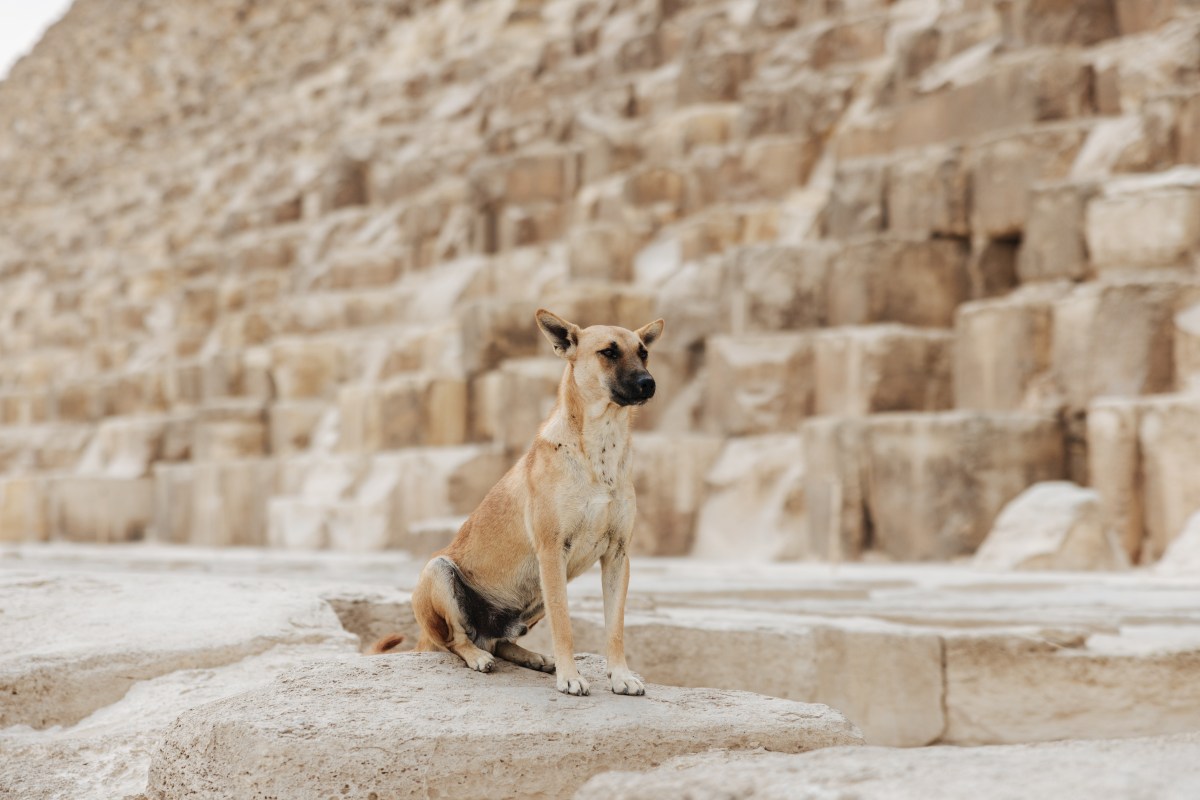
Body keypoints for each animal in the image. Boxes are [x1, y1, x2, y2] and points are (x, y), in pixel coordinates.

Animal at [369, 307, 662, 695]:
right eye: (609, 352)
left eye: (643, 352)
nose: (649, 384)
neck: (599, 451)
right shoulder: (552, 553)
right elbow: (564, 626)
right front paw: (571, 677)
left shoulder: (617, 556)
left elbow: (615, 628)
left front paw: (620, 675)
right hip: (440, 572)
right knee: (457, 641)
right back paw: (478, 657)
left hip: (533, 595)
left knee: (501, 641)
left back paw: (534, 658)